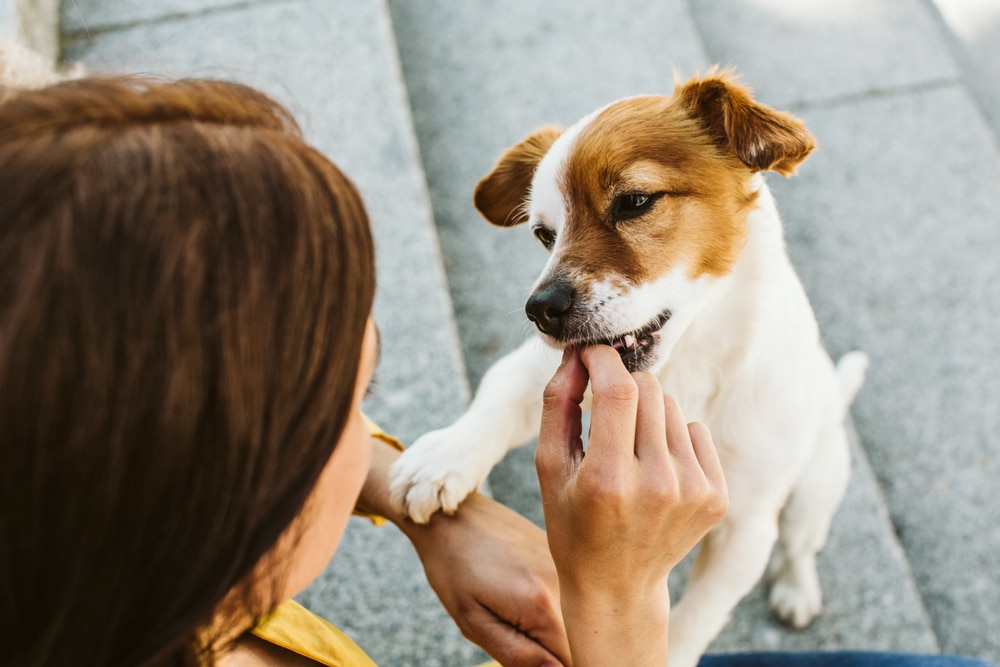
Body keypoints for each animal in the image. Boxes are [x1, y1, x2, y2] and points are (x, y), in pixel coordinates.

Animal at [390, 69, 868, 667]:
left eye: (635, 202)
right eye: (544, 235)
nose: (540, 309)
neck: (685, 362)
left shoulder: (746, 529)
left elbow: (693, 621)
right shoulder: (537, 372)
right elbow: (497, 400)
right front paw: (442, 459)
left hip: (813, 489)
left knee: (802, 543)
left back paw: (796, 589)